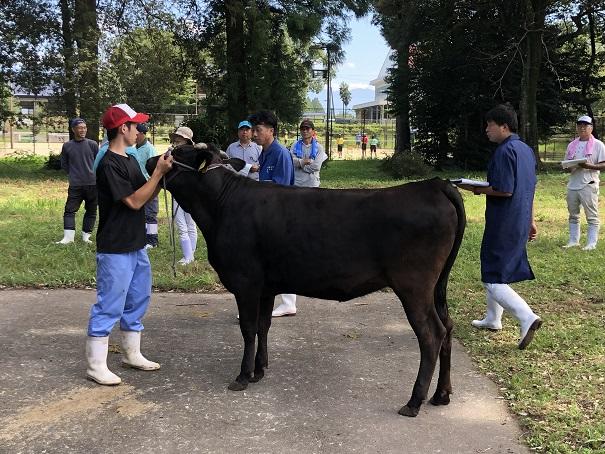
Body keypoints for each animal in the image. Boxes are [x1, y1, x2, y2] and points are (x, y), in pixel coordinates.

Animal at [147, 144, 466, 417]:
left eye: (177, 152)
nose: (150, 161)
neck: (221, 205)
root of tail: (434, 184)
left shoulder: (246, 282)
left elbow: (248, 329)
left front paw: (243, 375)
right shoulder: (265, 286)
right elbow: (263, 326)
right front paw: (260, 370)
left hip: (414, 286)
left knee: (432, 334)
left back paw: (414, 401)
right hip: (435, 287)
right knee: (448, 327)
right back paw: (441, 395)